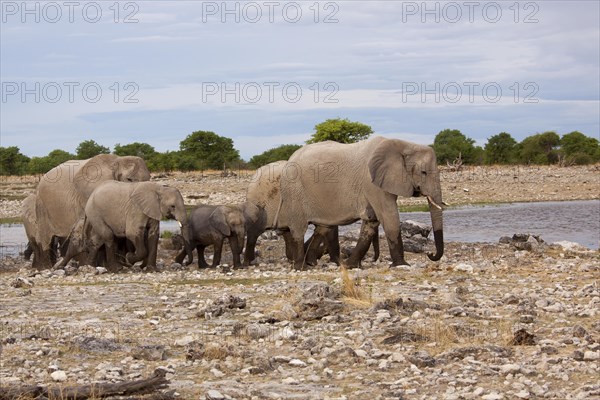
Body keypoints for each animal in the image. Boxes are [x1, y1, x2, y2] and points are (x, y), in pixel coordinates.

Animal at [278, 136, 442, 270]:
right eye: (423, 172)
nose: (430, 254)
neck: (404, 145)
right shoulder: (371, 182)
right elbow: (388, 216)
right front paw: (401, 265)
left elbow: (372, 221)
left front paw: (350, 266)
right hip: (294, 189)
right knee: (299, 227)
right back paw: (301, 267)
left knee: (322, 227)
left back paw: (310, 262)